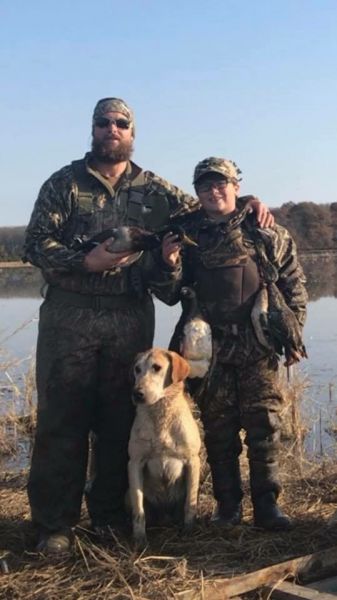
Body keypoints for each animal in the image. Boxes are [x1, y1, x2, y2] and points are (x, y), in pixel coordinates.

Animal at [128, 346, 201, 548]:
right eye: (137, 369)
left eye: (157, 367)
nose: (137, 393)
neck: (160, 418)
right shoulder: (134, 463)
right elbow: (138, 509)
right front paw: (139, 539)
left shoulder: (193, 461)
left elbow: (190, 503)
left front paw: (189, 530)